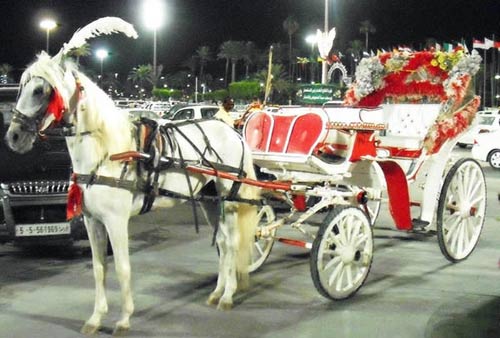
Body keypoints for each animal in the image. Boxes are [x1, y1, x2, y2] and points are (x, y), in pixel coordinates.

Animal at [5, 18, 260, 336]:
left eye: (40, 90)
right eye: (21, 88)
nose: (13, 136)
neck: (108, 152)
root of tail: (232, 131)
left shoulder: (116, 220)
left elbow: (122, 267)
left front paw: (124, 318)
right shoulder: (91, 220)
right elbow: (99, 268)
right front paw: (96, 317)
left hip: (230, 199)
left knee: (234, 242)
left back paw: (227, 296)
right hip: (209, 199)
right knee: (224, 243)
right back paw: (217, 292)